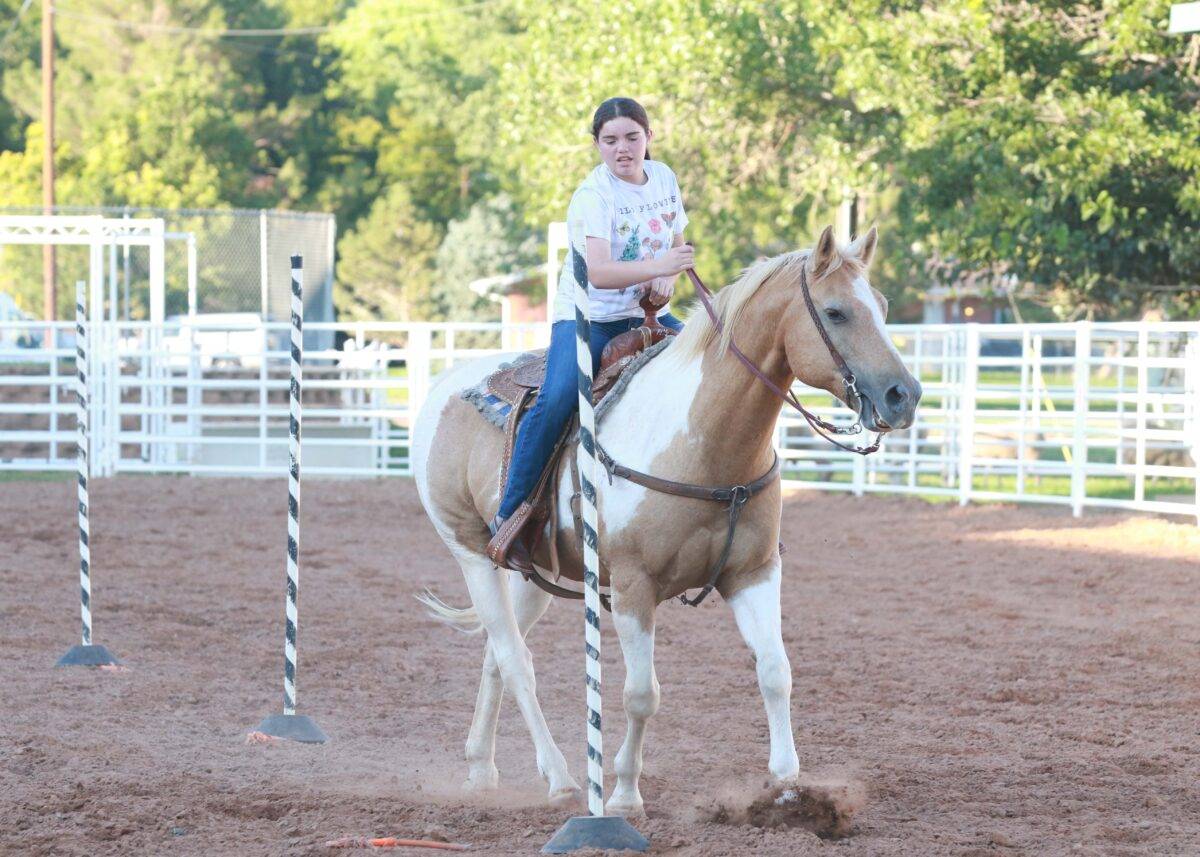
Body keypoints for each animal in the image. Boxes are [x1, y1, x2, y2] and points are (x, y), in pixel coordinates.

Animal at [408, 223, 921, 811]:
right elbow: (640, 694)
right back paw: (560, 777)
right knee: (516, 661)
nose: (904, 395)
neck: (703, 443)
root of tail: (445, 384)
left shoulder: (754, 573)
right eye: (836, 312)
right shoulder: (635, 587)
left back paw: (481, 768)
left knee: (498, 654)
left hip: (531, 572)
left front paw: (789, 787)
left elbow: (776, 672)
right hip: (471, 553)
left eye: (882, 305)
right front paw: (624, 794)